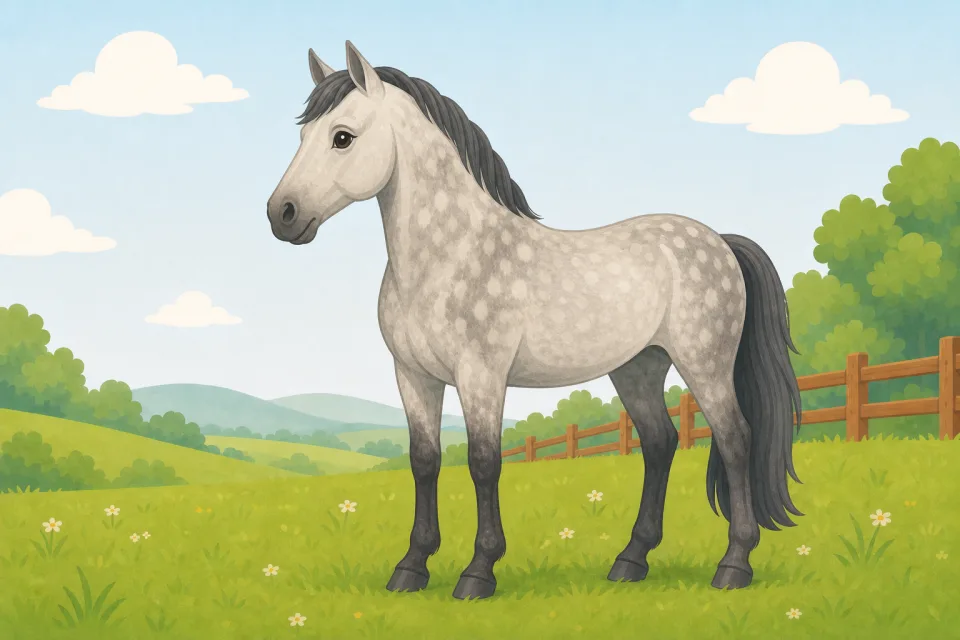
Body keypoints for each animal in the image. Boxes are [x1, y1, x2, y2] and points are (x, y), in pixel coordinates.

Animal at [266, 40, 803, 601]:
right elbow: (424, 461)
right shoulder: (413, 376)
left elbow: (483, 463)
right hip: (638, 367)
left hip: (704, 363)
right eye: (303, 135)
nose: (281, 214)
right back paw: (630, 560)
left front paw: (478, 571)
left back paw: (734, 565)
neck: (448, 257)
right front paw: (412, 567)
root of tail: (719, 240)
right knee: (660, 444)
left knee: (735, 440)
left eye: (342, 137)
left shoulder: (481, 376)